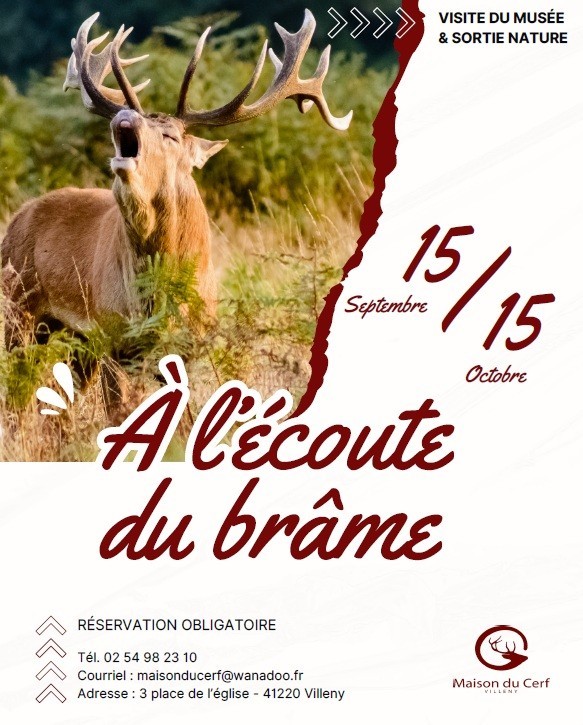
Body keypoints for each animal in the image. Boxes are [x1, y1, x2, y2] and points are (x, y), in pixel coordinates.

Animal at [1, 10, 351, 412]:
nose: (124, 116)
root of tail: (16, 219)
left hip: (72, 339)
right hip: (19, 311)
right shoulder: (111, 332)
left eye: (169, 135)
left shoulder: (191, 343)